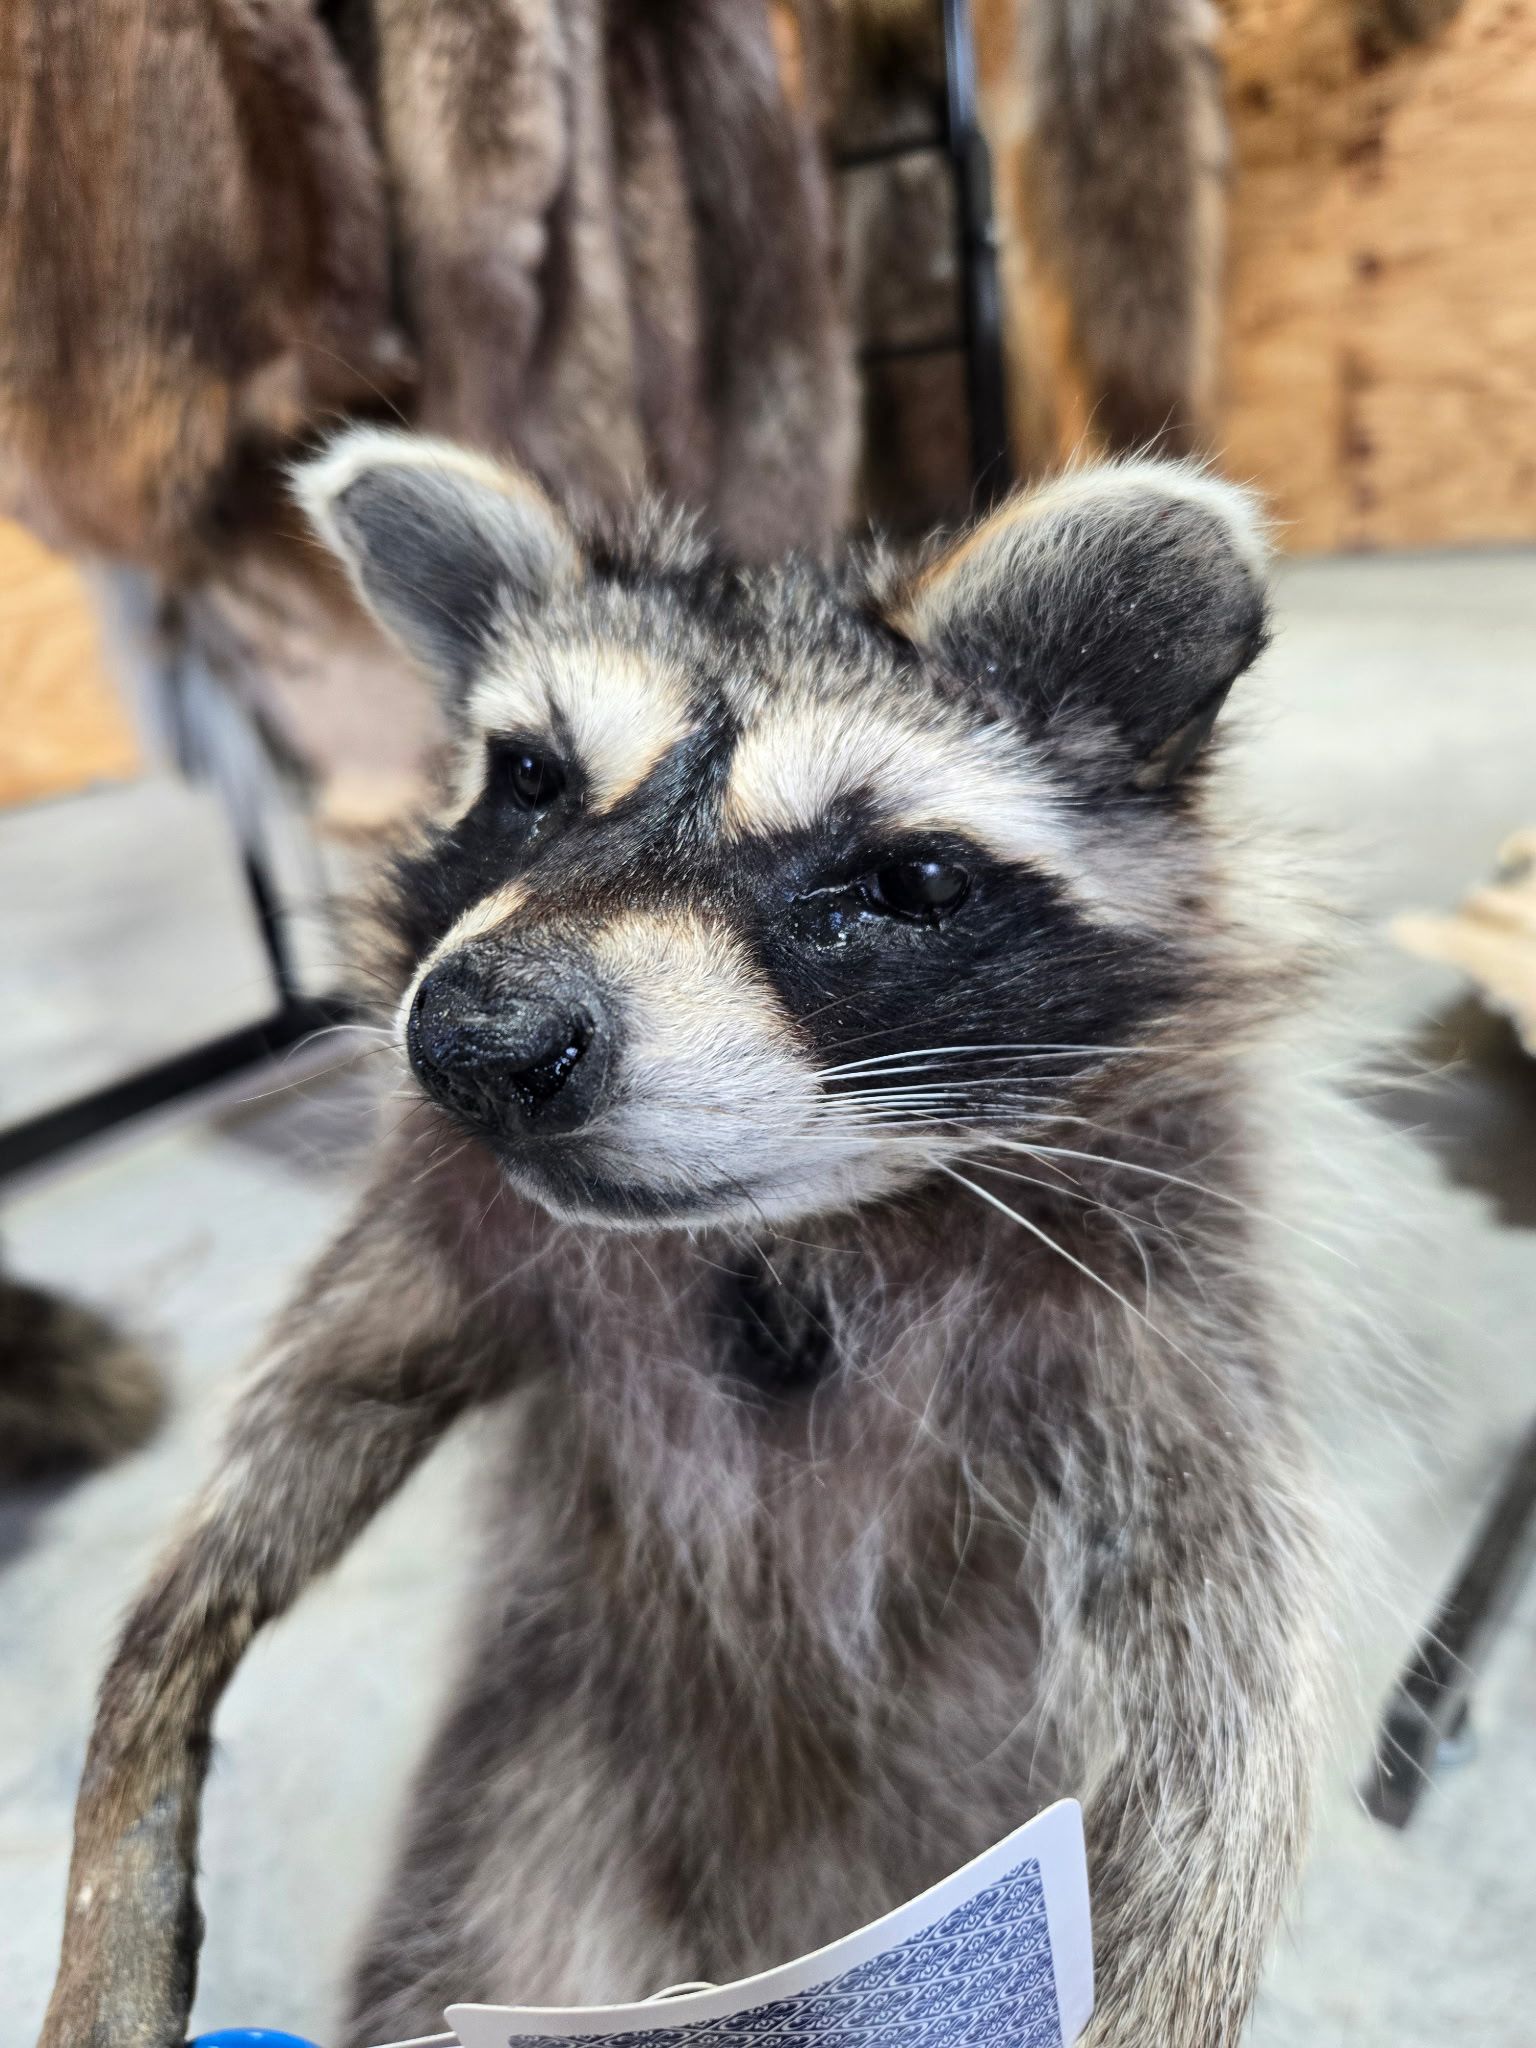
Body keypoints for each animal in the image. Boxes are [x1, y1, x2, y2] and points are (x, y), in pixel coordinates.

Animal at [40, 434, 1345, 2048]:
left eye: (902, 881)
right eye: (530, 780)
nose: (480, 1046)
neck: (772, 1233)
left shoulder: (1152, 1294)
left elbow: (1229, 1672)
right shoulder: (462, 1230)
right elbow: (303, 1428)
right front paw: (137, 1754)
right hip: (536, 1809)